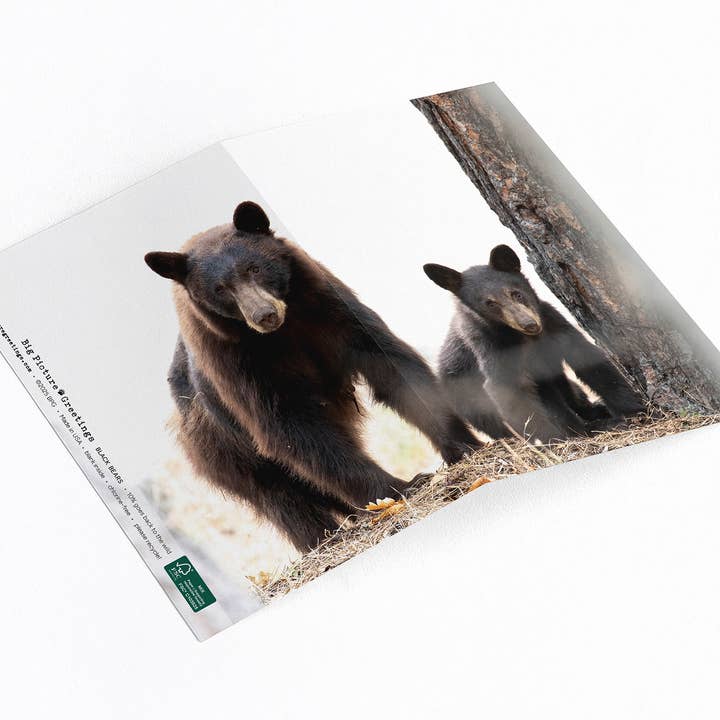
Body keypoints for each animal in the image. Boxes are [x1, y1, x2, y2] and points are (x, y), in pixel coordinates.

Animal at [145, 201, 481, 551]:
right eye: (220, 289)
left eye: (254, 268)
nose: (263, 315)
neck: (281, 332)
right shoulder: (233, 362)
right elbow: (289, 425)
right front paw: (398, 488)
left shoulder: (328, 307)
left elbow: (391, 365)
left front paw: (463, 445)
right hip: (222, 444)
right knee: (278, 493)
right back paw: (322, 538)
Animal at [423, 244, 644, 443]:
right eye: (491, 304)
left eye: (516, 293)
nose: (529, 324)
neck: (524, 338)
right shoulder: (492, 346)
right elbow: (507, 388)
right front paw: (551, 439)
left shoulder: (552, 324)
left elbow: (587, 359)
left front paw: (633, 408)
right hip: (464, 393)